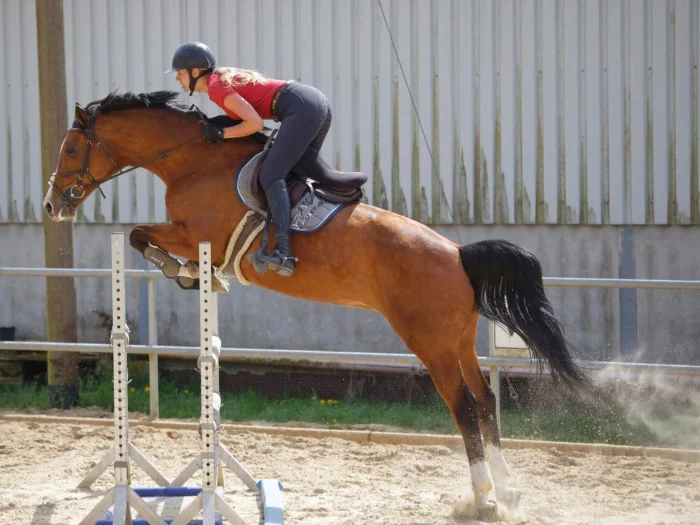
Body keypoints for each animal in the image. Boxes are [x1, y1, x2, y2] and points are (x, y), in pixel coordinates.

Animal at [43, 90, 588, 521]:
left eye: (69, 147)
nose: (52, 205)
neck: (193, 159)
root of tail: (458, 253)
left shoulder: (195, 234)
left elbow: (140, 234)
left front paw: (185, 272)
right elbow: (140, 236)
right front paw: (196, 275)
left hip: (430, 344)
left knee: (464, 406)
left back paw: (482, 499)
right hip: (460, 342)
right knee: (487, 400)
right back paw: (508, 491)